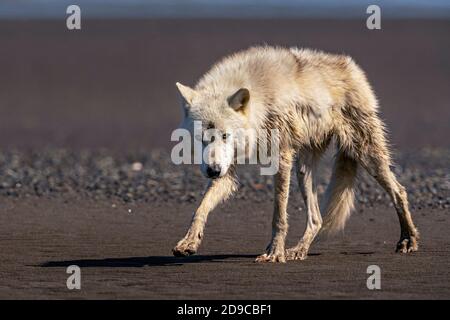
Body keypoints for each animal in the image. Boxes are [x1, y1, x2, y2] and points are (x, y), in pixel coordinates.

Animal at [172, 47, 418, 262]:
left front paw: (275, 253)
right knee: (317, 219)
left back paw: (408, 240)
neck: (261, 102)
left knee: (399, 192)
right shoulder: (228, 171)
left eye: (225, 136)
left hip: (366, 154)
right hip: (303, 170)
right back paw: (299, 250)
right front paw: (189, 242)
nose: (213, 170)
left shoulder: (282, 159)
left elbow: (279, 216)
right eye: (201, 138)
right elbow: (200, 208)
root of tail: (351, 67)